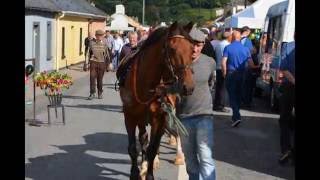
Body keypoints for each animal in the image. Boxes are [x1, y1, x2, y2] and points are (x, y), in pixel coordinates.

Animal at [119, 21, 195, 179]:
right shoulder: (130, 116)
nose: (189, 87)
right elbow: (133, 147)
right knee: (143, 138)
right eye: (172, 49)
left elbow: (153, 149)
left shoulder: (160, 118)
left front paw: (149, 173)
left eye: (192, 49)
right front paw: (135, 173)